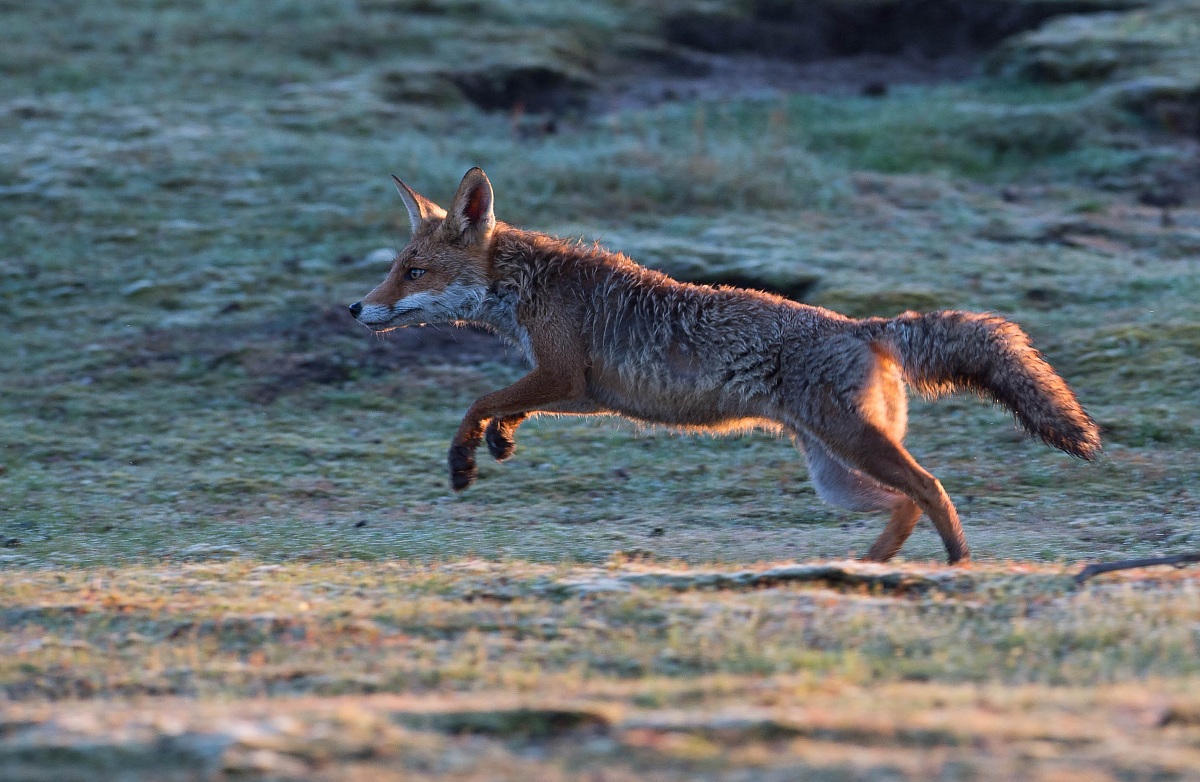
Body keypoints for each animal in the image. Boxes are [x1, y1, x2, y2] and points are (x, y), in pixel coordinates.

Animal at [349, 167, 1101, 565]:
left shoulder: (564, 375)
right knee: (905, 503)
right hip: (837, 475)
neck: (530, 287)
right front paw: (501, 441)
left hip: (855, 449)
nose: (356, 308)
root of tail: (863, 327)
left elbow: (477, 400)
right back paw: (868, 571)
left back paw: (954, 567)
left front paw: (464, 459)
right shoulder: (585, 390)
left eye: (412, 272)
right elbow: (505, 404)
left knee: (932, 487)